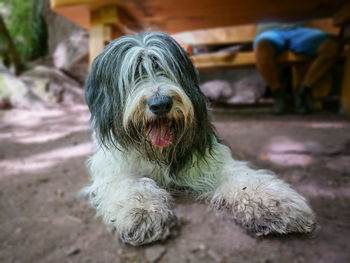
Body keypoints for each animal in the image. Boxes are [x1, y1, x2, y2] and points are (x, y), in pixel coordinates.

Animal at [84, 32, 314, 246]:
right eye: (135, 72)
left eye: (165, 68)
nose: (161, 104)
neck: (159, 152)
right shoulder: (113, 166)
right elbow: (130, 182)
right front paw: (142, 211)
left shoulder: (208, 156)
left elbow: (239, 174)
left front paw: (271, 202)